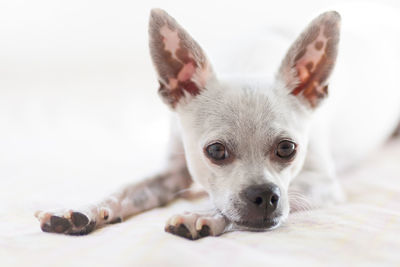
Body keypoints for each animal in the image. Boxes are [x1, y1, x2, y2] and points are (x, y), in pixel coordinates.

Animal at [35, 6, 400, 241]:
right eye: (215, 151)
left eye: (287, 149)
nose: (264, 194)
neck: (249, 63)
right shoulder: (171, 172)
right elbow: (127, 189)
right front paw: (85, 208)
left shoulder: (319, 184)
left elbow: (223, 202)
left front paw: (202, 214)